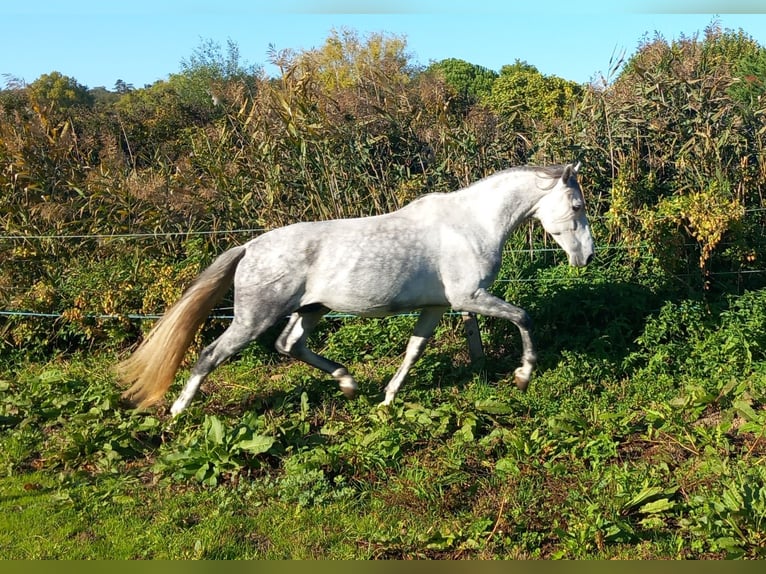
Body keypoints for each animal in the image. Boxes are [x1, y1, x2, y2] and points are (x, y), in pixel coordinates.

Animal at [118, 162, 595, 416]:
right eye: (576, 206)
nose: (587, 257)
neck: (470, 224)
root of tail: (250, 246)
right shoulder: (469, 299)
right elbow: (523, 317)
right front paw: (523, 375)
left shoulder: (438, 307)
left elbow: (414, 350)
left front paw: (387, 399)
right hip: (254, 317)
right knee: (210, 354)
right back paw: (178, 411)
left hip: (310, 309)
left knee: (289, 345)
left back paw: (348, 384)